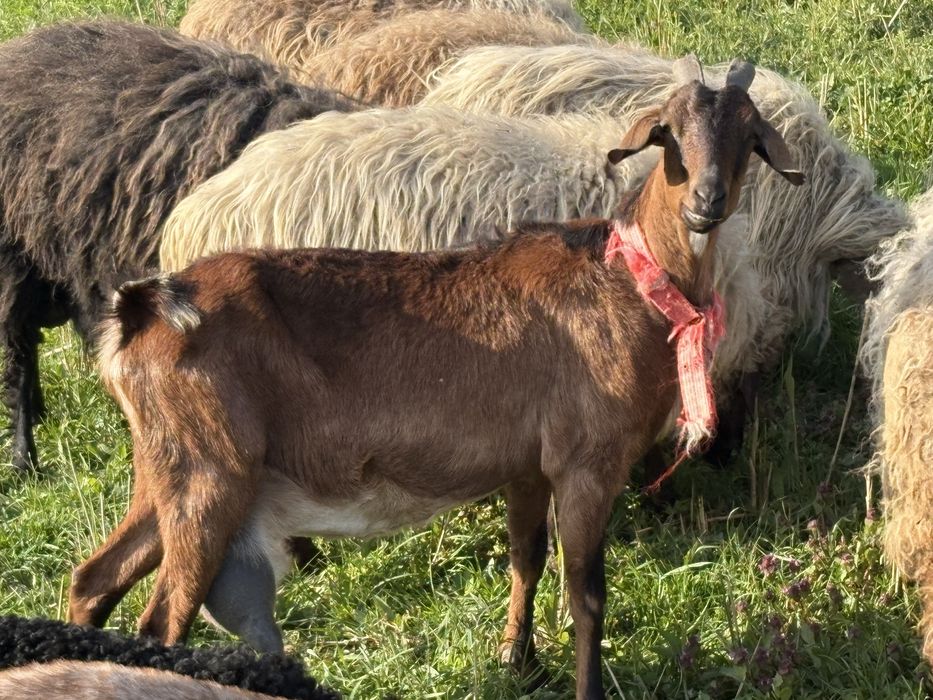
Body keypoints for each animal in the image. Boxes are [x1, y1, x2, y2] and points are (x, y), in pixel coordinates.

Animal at [72, 57, 802, 698]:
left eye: (749, 135)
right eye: (667, 132)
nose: (705, 203)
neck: (629, 279)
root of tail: (143, 309)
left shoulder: (528, 465)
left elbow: (525, 558)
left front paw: (517, 661)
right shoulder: (586, 463)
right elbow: (586, 593)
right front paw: (583, 687)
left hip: (169, 468)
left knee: (94, 578)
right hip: (210, 476)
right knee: (160, 622)